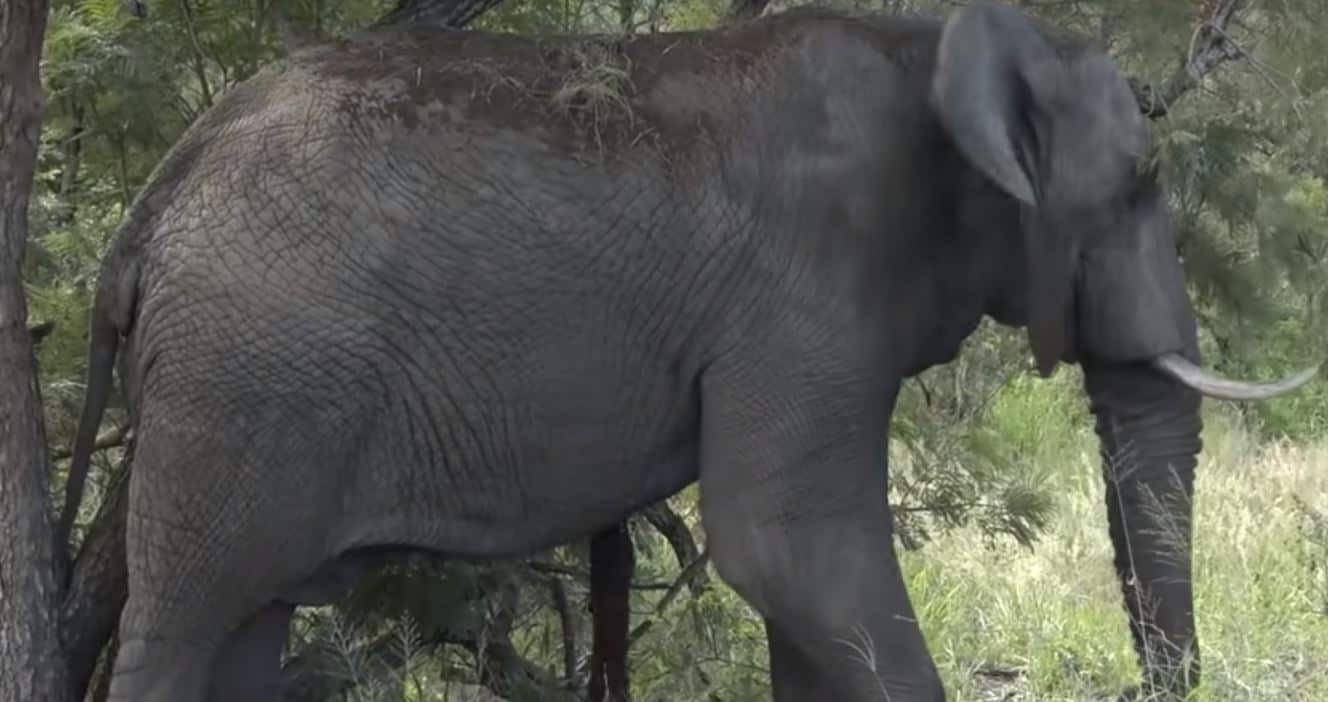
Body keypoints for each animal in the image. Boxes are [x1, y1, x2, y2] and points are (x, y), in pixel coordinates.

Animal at [60, 2, 1319, 700]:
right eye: (1139, 180)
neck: (928, 45)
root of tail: (150, 209)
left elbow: (800, 590)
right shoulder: (800, 296)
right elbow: (786, 550)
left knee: (246, 624)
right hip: (241, 384)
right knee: (185, 626)